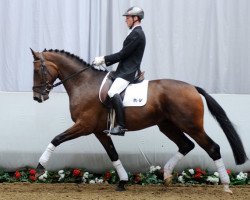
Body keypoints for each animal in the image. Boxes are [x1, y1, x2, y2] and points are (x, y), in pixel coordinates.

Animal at [30, 48, 247, 192]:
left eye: (37, 71)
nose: (37, 97)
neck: (83, 84)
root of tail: (193, 87)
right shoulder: (99, 130)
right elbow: (113, 154)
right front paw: (123, 181)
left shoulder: (84, 125)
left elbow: (56, 139)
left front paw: (40, 168)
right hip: (167, 125)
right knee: (186, 145)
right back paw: (167, 175)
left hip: (191, 125)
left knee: (212, 148)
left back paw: (226, 185)